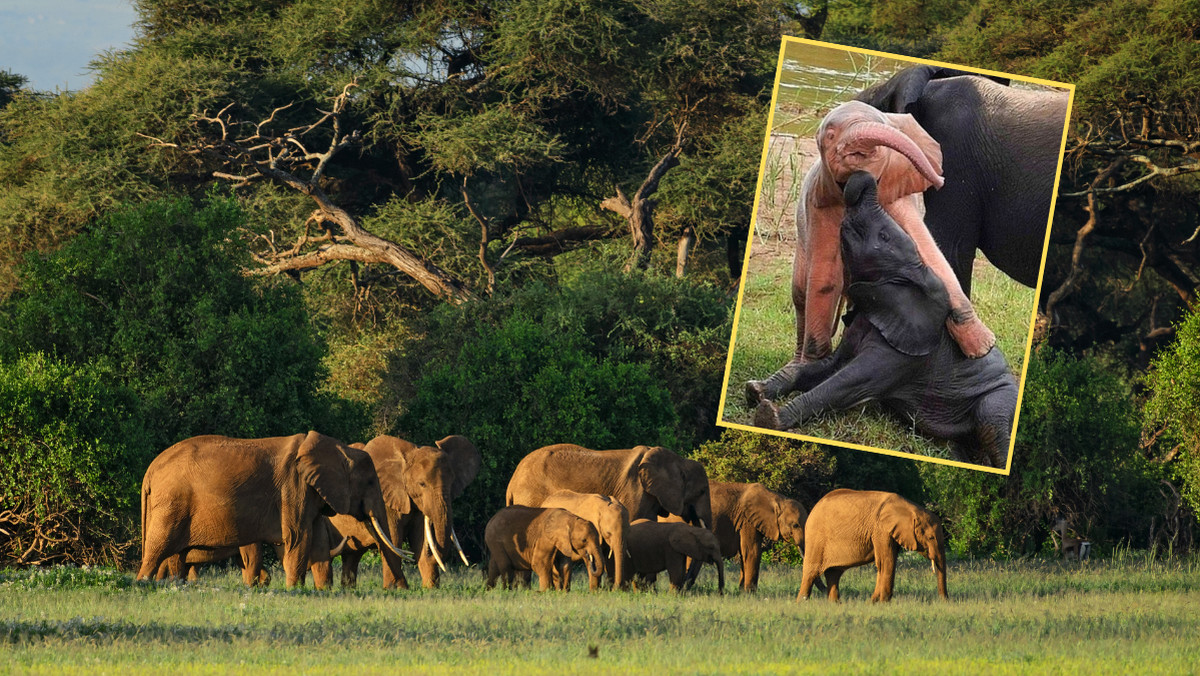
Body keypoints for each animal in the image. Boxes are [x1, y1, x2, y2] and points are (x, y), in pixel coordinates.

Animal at [138, 434, 405, 588]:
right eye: (370, 482)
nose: (403, 588)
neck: (339, 448)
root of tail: (150, 470)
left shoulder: (309, 492)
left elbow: (316, 538)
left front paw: (321, 592)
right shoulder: (294, 487)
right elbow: (298, 537)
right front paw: (294, 591)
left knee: (175, 555)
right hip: (172, 505)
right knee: (159, 549)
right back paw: (144, 584)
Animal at [333, 437, 477, 590]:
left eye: (452, 483)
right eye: (422, 484)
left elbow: (419, 537)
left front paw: (430, 588)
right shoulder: (385, 500)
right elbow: (393, 538)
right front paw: (398, 588)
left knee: (352, 556)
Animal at [753, 172, 1017, 470]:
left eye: (884, 235)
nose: (864, 177)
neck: (918, 276)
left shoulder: (902, 357)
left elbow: (846, 383)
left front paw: (769, 416)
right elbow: (825, 367)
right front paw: (757, 389)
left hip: (1000, 398)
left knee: (992, 422)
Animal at [796, 489, 945, 605]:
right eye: (931, 538)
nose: (944, 600)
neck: (910, 508)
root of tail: (813, 508)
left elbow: (884, 563)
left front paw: (874, 602)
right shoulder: (881, 530)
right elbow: (886, 562)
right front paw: (884, 602)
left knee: (833, 573)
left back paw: (835, 604)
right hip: (816, 539)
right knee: (811, 571)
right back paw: (802, 602)